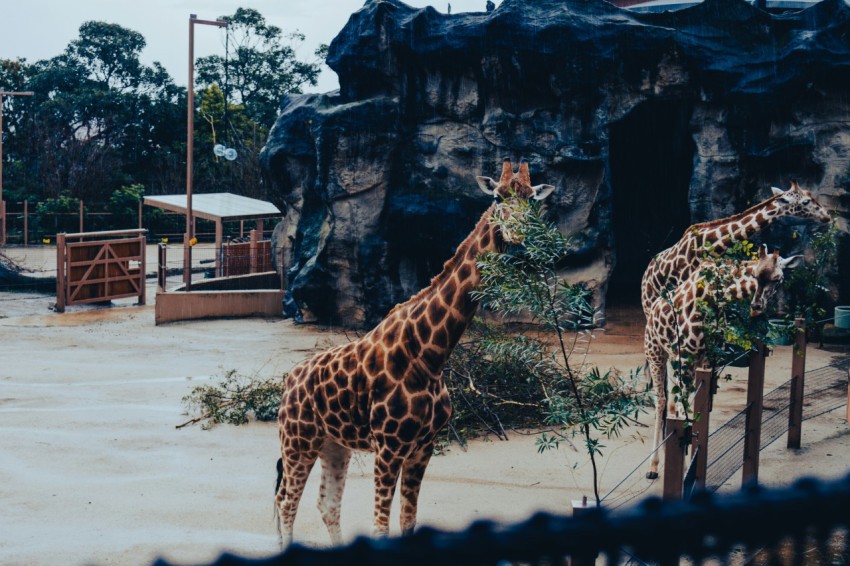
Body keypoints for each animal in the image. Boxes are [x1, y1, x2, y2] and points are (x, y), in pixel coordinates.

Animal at [272, 159, 560, 544]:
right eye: (498, 197)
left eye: (530, 198)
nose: (519, 233)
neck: (430, 355)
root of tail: (289, 380)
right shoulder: (389, 446)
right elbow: (381, 526)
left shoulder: (424, 447)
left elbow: (408, 520)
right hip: (298, 439)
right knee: (286, 501)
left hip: (334, 443)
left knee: (326, 504)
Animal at [640, 247, 800, 480]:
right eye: (754, 274)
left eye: (777, 278)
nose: (756, 306)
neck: (715, 295)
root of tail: (652, 310)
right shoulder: (686, 356)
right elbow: (684, 412)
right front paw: (684, 470)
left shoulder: (708, 359)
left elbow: (699, 411)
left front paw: (693, 468)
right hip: (656, 352)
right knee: (661, 400)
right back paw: (652, 467)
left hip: (672, 359)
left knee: (671, 401)